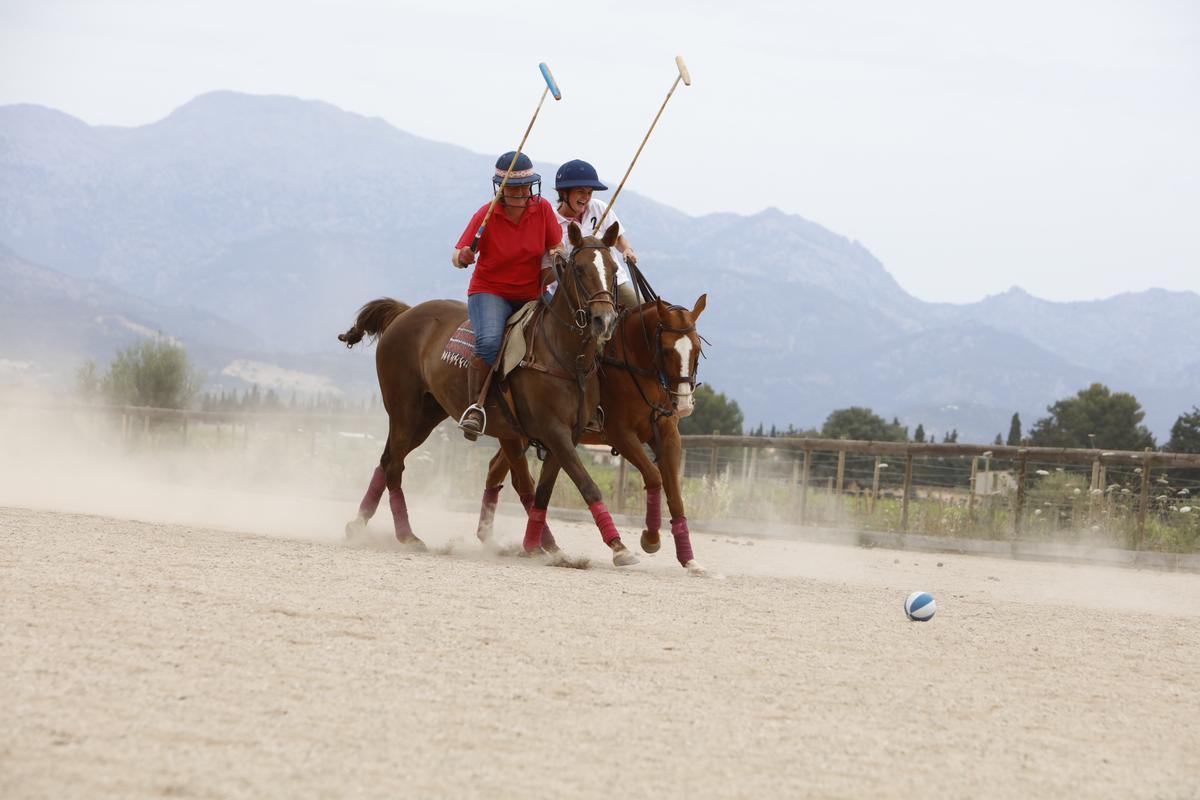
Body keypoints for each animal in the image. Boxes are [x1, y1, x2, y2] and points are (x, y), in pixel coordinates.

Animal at [338, 221, 643, 566]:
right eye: (579, 269)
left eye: (613, 269)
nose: (604, 320)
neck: (564, 357)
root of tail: (405, 313)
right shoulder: (553, 431)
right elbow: (585, 484)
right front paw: (618, 546)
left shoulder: (566, 434)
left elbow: (542, 491)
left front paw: (540, 546)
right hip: (404, 408)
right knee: (394, 464)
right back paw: (406, 536)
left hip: (427, 415)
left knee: (389, 458)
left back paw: (359, 525)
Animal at [475, 297, 705, 573]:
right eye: (668, 350)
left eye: (697, 349)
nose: (684, 404)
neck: (634, 364)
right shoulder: (620, 434)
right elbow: (653, 476)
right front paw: (650, 538)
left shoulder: (668, 434)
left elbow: (675, 494)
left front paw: (689, 559)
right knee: (516, 478)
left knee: (497, 469)